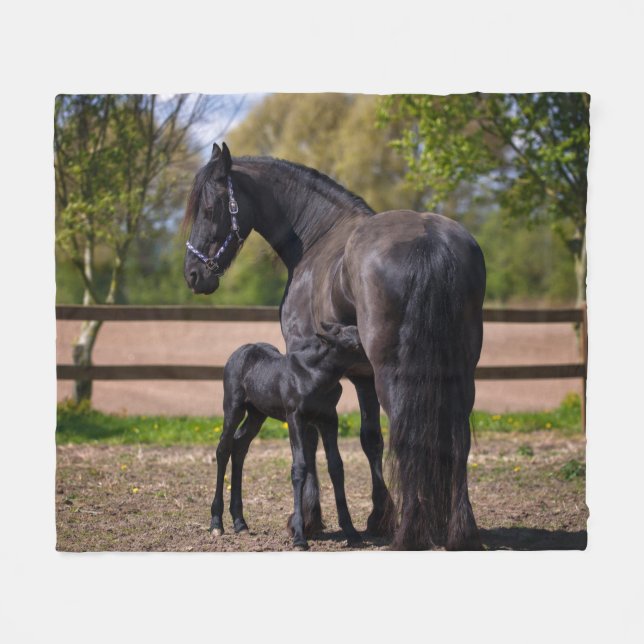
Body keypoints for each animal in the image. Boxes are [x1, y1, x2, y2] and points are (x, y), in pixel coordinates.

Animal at [210, 322, 365, 548]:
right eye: (355, 345)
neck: (315, 375)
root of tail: (241, 350)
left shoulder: (329, 419)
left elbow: (336, 466)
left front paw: (351, 532)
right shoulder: (295, 418)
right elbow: (299, 468)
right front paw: (299, 537)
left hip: (257, 413)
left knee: (240, 446)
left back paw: (240, 523)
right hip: (233, 407)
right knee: (223, 449)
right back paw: (216, 523)